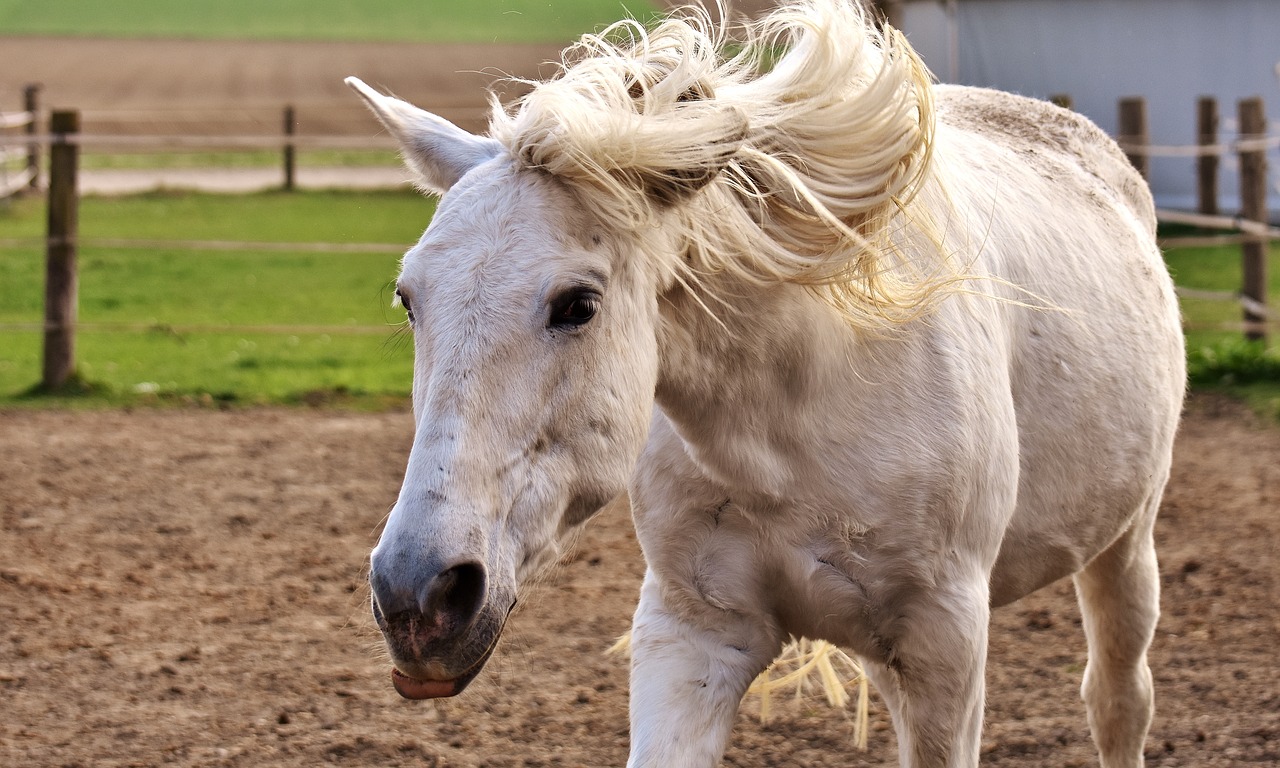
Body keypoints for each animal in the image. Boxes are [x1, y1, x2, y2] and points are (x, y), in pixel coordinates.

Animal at [348, 3, 1177, 762]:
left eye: (577, 304)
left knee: (1118, 700)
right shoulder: (693, 633)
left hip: (1125, 546)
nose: (418, 597)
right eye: (408, 299)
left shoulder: (946, 642)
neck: (786, 424)